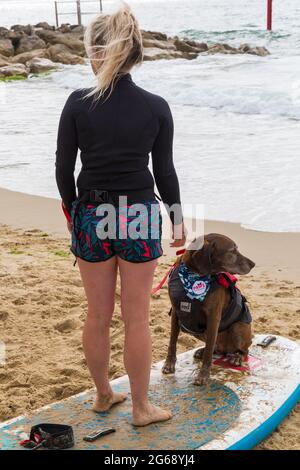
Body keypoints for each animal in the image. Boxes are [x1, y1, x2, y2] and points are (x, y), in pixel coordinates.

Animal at [162, 234, 255, 386]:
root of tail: (226, 350)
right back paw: (202, 350)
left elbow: (209, 354)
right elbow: (172, 342)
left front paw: (203, 376)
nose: (253, 264)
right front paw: (169, 364)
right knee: (215, 349)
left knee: (244, 350)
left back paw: (236, 357)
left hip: (238, 327)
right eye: (232, 251)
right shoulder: (176, 312)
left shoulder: (213, 318)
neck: (193, 275)